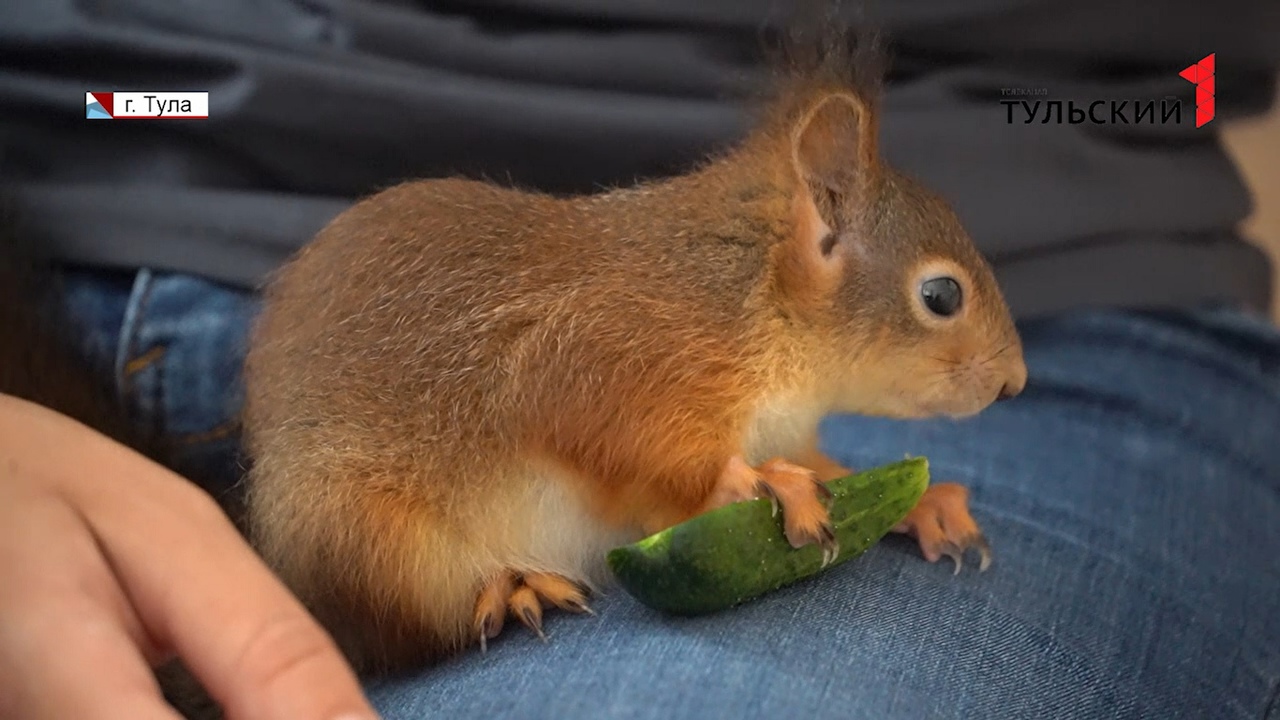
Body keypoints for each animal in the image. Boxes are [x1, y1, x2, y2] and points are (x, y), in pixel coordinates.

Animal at [240, 26, 1029, 671]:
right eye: (942, 295)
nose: (1015, 383)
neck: (760, 311)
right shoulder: (604, 347)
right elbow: (613, 436)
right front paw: (754, 482)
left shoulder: (783, 424)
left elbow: (830, 468)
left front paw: (923, 504)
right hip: (362, 537)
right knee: (402, 621)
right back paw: (511, 583)